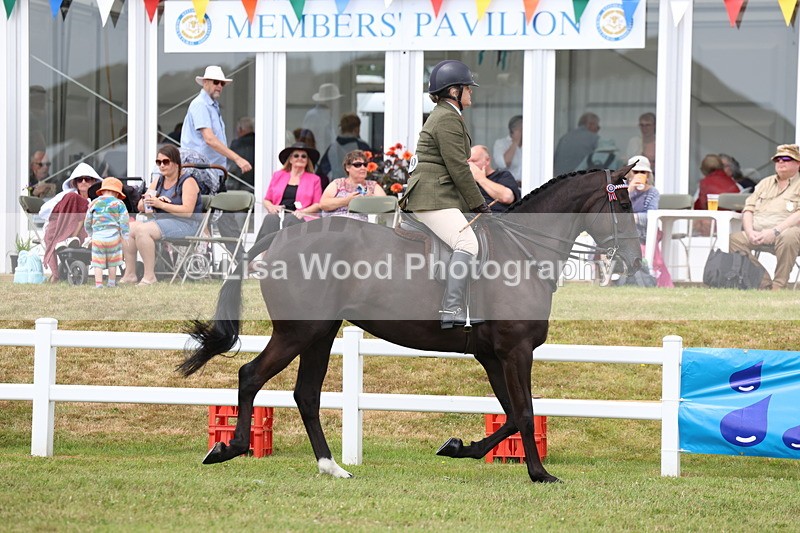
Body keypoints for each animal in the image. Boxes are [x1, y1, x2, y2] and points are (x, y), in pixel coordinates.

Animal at [179, 165, 641, 483]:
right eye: (622, 205)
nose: (635, 261)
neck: (523, 251)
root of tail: (282, 236)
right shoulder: (516, 350)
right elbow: (525, 413)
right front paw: (539, 474)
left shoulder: (493, 354)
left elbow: (509, 414)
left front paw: (459, 447)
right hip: (299, 331)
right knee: (250, 375)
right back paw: (229, 448)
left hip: (320, 333)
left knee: (306, 394)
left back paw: (332, 467)